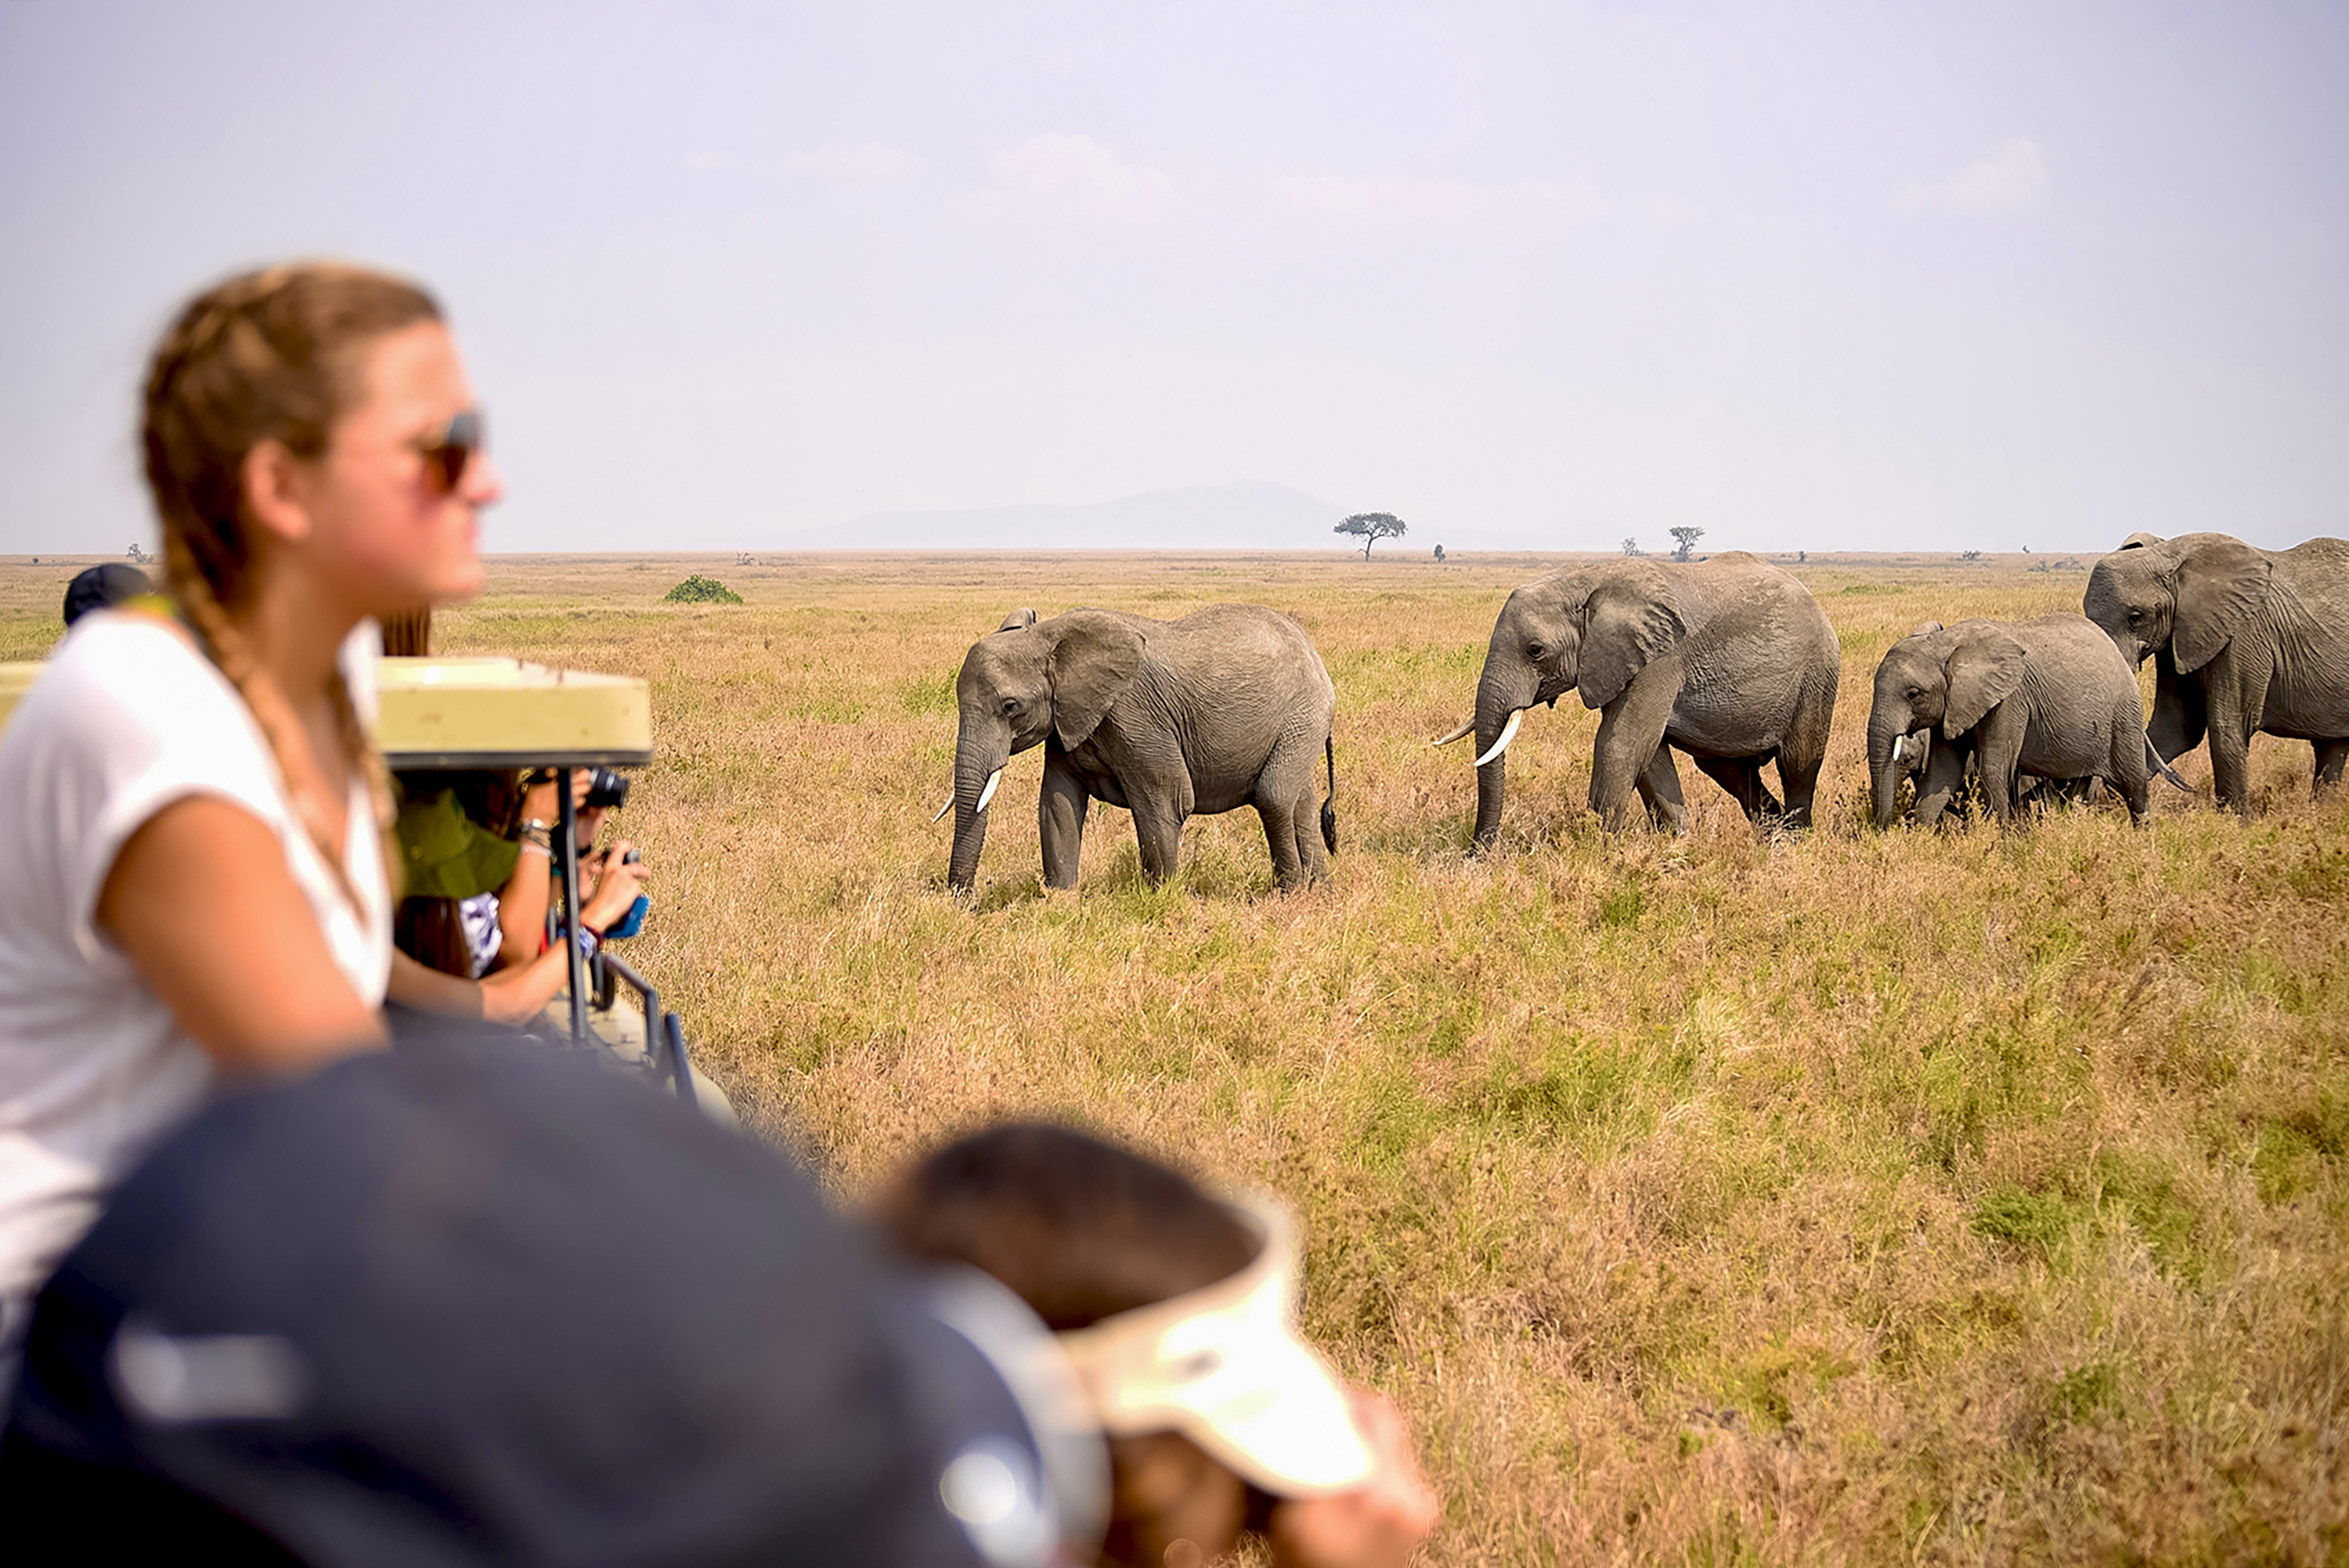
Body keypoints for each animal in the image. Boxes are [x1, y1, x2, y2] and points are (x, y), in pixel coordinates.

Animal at [940, 605, 1344, 892]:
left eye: (1010, 706)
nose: (966, 901)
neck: (1050, 636)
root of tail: (1312, 651)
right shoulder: (1066, 722)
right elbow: (1057, 805)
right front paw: (1060, 899)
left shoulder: (1136, 716)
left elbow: (1167, 802)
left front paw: (1162, 899)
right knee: (1300, 802)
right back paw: (1318, 891)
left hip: (1305, 713)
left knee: (1274, 797)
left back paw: (1289, 893)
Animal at [1438, 553, 1842, 845]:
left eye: (1535, 651)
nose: (1479, 854)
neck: (1586, 578)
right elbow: (1649, 758)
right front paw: (1677, 846)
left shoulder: (1660, 658)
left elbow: (1621, 745)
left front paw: (1596, 851)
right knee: (1732, 772)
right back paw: (1774, 838)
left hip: (1817, 676)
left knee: (1798, 763)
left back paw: (1796, 844)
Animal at [1860, 615, 2170, 831]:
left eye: (1913, 694)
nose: (1883, 830)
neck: (1946, 645)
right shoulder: (1952, 708)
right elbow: (1942, 773)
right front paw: (1917, 842)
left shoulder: (2011, 701)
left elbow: (1992, 769)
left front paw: (2001, 845)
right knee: (2077, 788)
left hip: (2124, 713)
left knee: (2133, 784)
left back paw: (2144, 839)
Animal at [2077, 532, 2349, 816]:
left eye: (2135, 618)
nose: (2085, 803)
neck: (2169, 557)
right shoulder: (2178, 639)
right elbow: (2177, 726)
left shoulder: (2243, 636)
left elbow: (2227, 729)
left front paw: (2233, 821)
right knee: (2331, 748)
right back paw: (2321, 812)